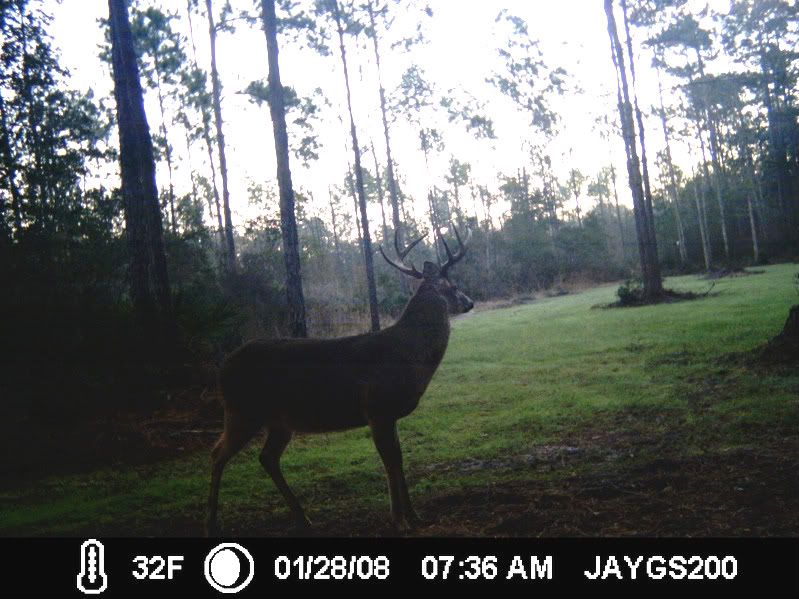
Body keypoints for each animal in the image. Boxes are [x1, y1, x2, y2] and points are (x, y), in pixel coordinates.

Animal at [203, 225, 476, 536]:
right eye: (453, 285)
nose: (470, 302)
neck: (408, 357)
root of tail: (222, 370)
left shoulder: (389, 414)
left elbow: (399, 459)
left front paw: (414, 515)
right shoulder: (377, 409)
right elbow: (390, 462)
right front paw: (398, 520)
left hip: (277, 420)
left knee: (267, 457)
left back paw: (304, 518)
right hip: (242, 411)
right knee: (217, 454)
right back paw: (211, 524)